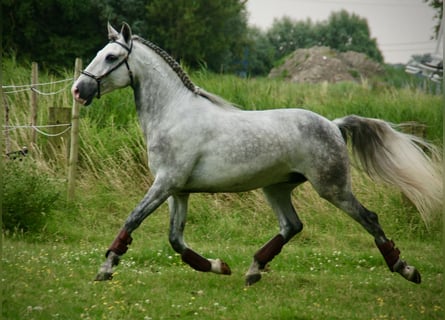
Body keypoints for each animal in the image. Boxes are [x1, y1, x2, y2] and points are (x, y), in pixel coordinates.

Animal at [72, 23, 440, 286]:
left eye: (110, 57)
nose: (79, 90)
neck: (173, 113)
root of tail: (334, 125)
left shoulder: (165, 184)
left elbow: (132, 220)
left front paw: (106, 268)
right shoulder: (178, 190)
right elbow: (176, 240)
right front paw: (219, 266)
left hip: (332, 188)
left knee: (369, 218)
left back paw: (407, 270)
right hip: (276, 187)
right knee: (292, 226)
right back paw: (253, 270)